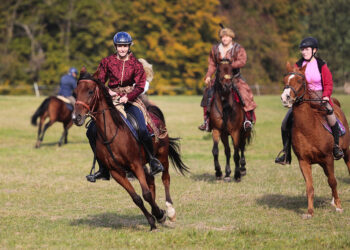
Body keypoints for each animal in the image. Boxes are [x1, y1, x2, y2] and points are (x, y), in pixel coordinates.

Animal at [280, 63, 350, 219]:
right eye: (285, 80)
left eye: (300, 81)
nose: (285, 98)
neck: (309, 128)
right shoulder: (304, 161)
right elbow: (309, 187)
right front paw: (310, 212)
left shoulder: (328, 158)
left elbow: (333, 182)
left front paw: (339, 207)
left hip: (347, 152)